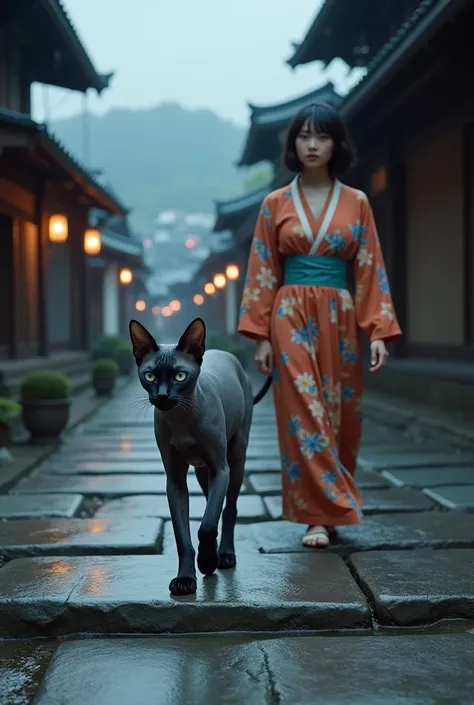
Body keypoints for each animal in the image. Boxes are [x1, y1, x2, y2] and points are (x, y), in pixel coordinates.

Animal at [130, 316, 270, 596]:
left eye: (179, 375)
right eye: (149, 376)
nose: (162, 395)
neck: (181, 420)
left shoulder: (220, 468)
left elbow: (206, 524)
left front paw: (206, 562)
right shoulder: (175, 480)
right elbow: (182, 534)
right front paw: (185, 579)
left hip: (236, 461)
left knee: (229, 509)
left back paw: (224, 555)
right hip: (201, 471)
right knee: (213, 504)